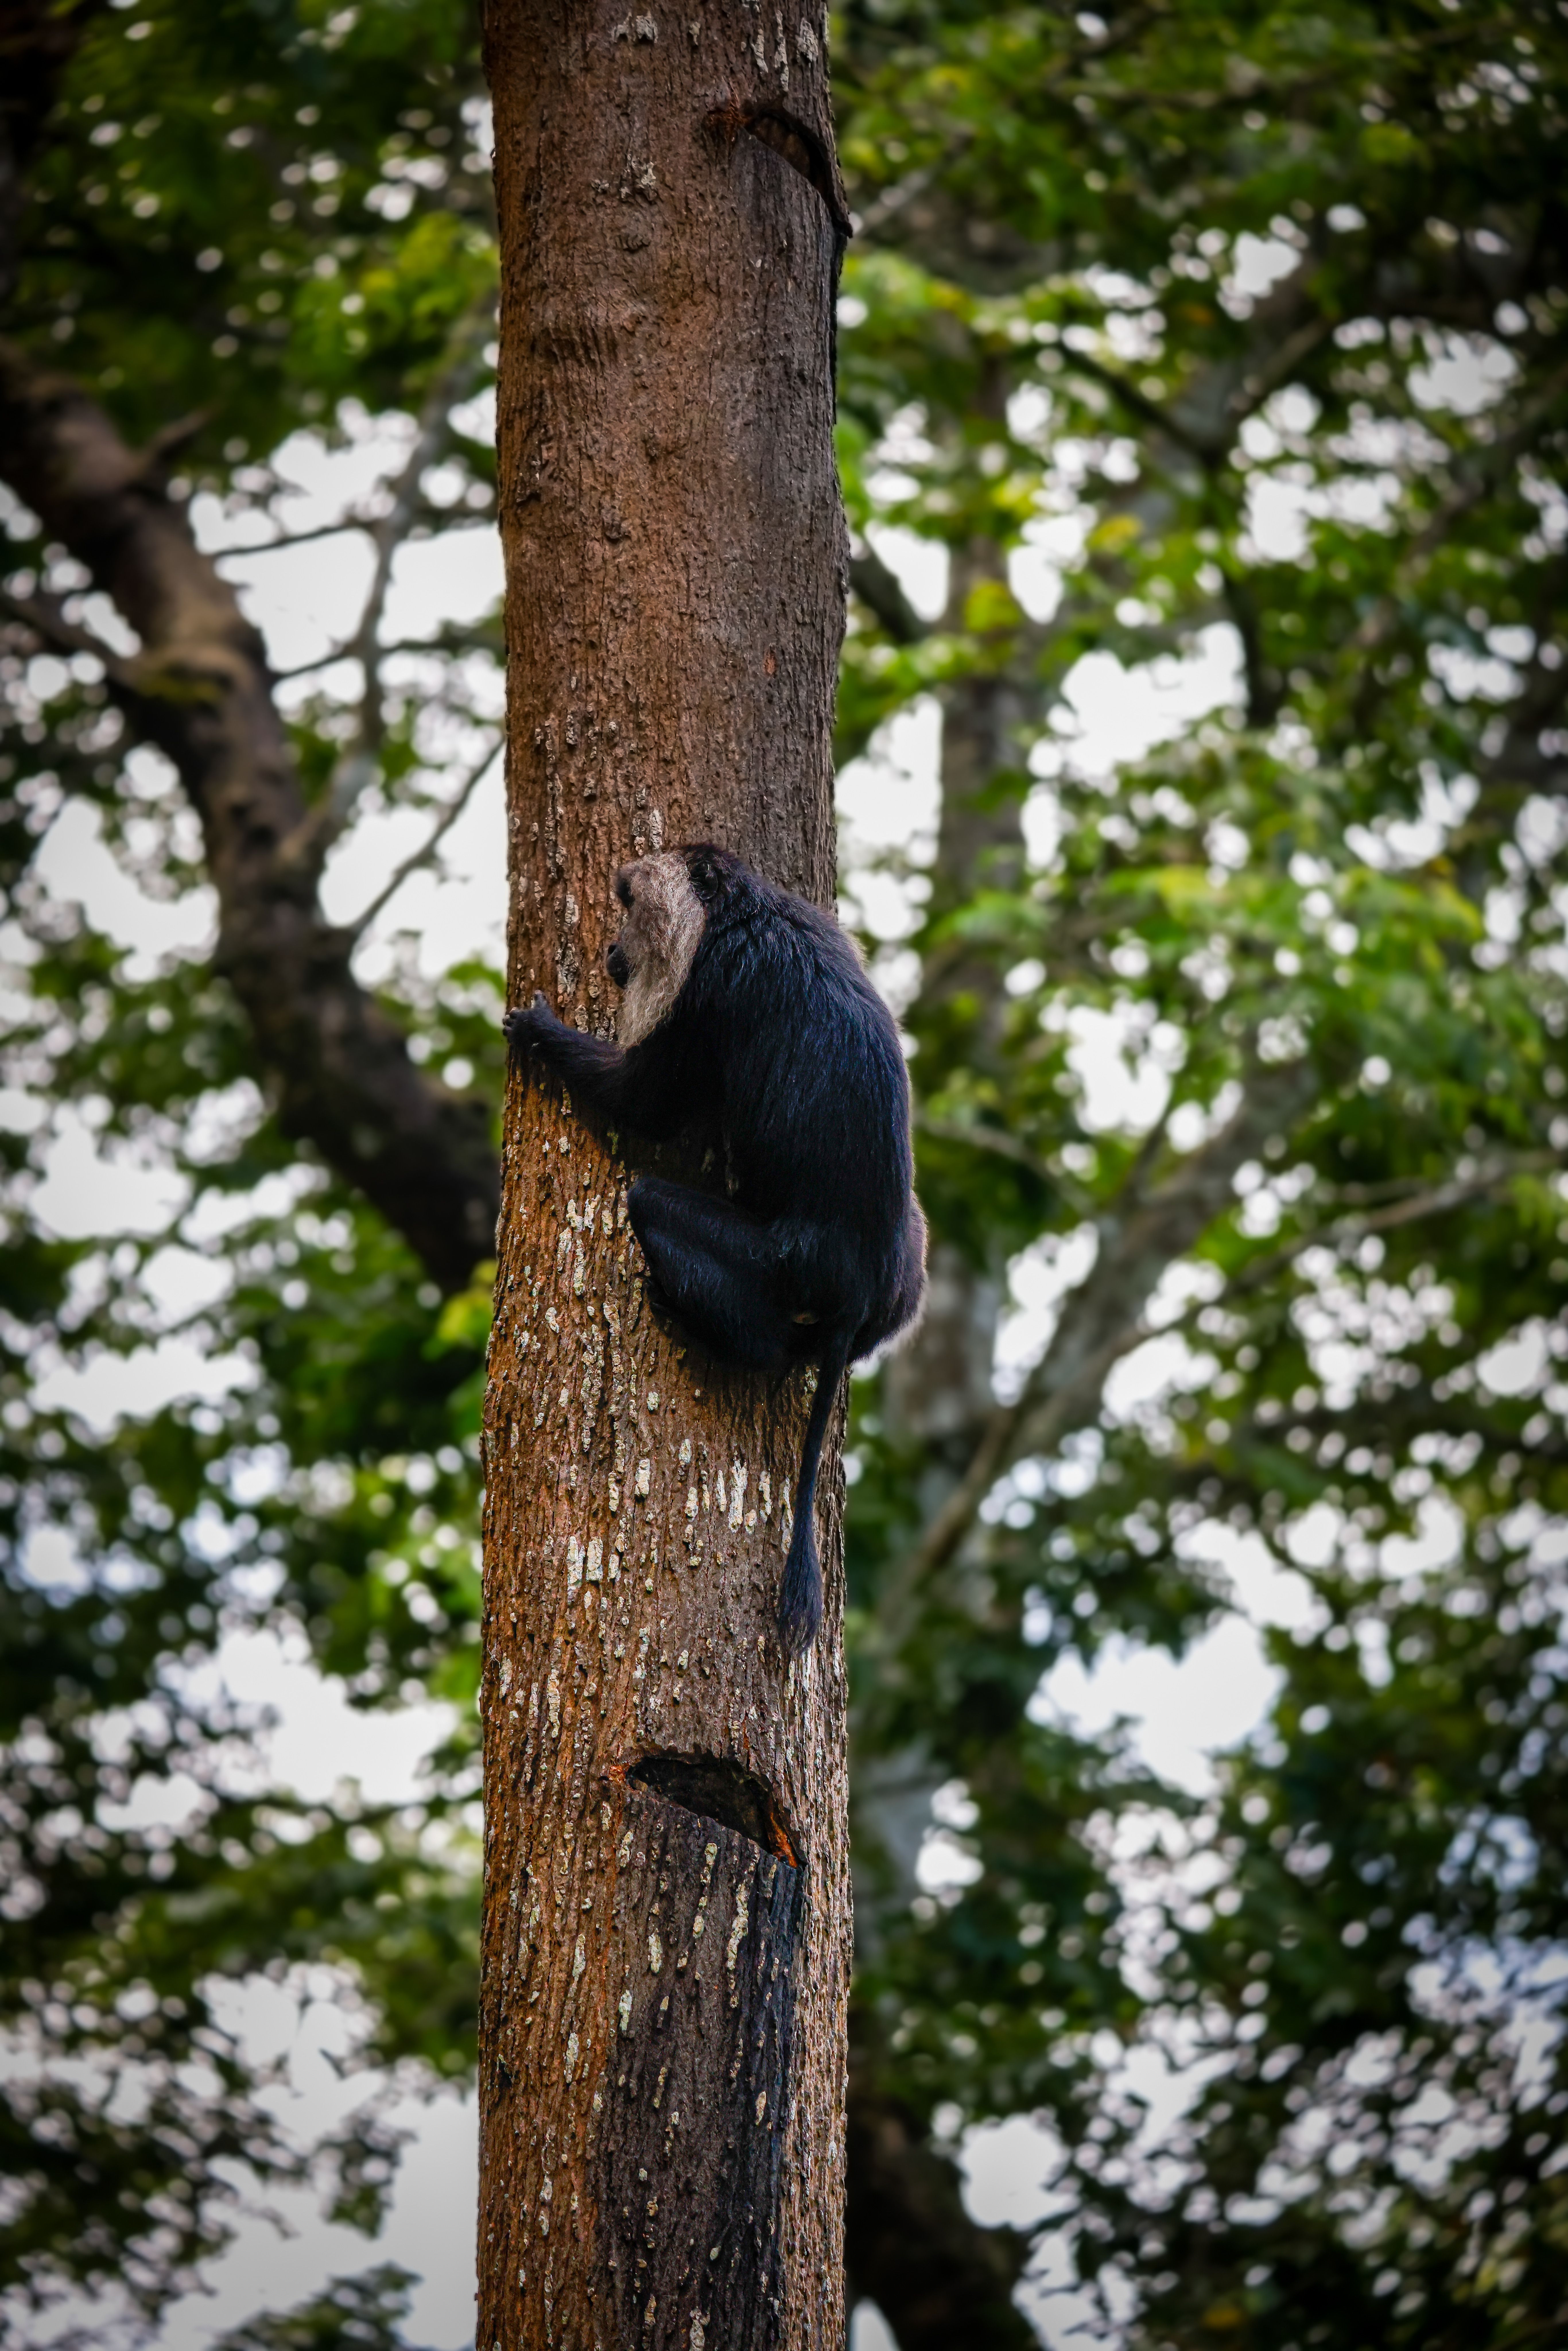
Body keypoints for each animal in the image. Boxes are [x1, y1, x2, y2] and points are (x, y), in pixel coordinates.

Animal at [503, 843, 926, 1653]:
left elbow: (647, 1104)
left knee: (658, 1211)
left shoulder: (706, 994)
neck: (744, 911)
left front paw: (537, 1028)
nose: (612, 952)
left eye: (630, 905)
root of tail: (860, 1282)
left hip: (769, 1263)